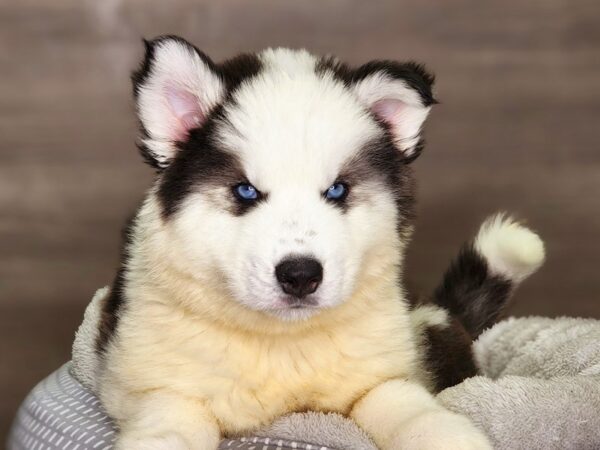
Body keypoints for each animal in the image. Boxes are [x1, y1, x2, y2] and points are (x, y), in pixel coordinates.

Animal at [95, 36, 544, 450]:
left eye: (337, 190)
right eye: (245, 191)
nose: (300, 275)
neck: (283, 344)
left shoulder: (382, 375)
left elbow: (409, 408)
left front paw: (446, 436)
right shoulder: (152, 384)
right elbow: (168, 421)